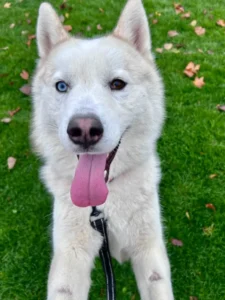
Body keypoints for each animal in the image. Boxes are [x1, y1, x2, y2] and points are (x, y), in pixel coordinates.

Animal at [31, 0, 175, 298]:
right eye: (62, 86)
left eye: (117, 84)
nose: (84, 130)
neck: (103, 208)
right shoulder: (69, 258)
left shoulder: (149, 249)